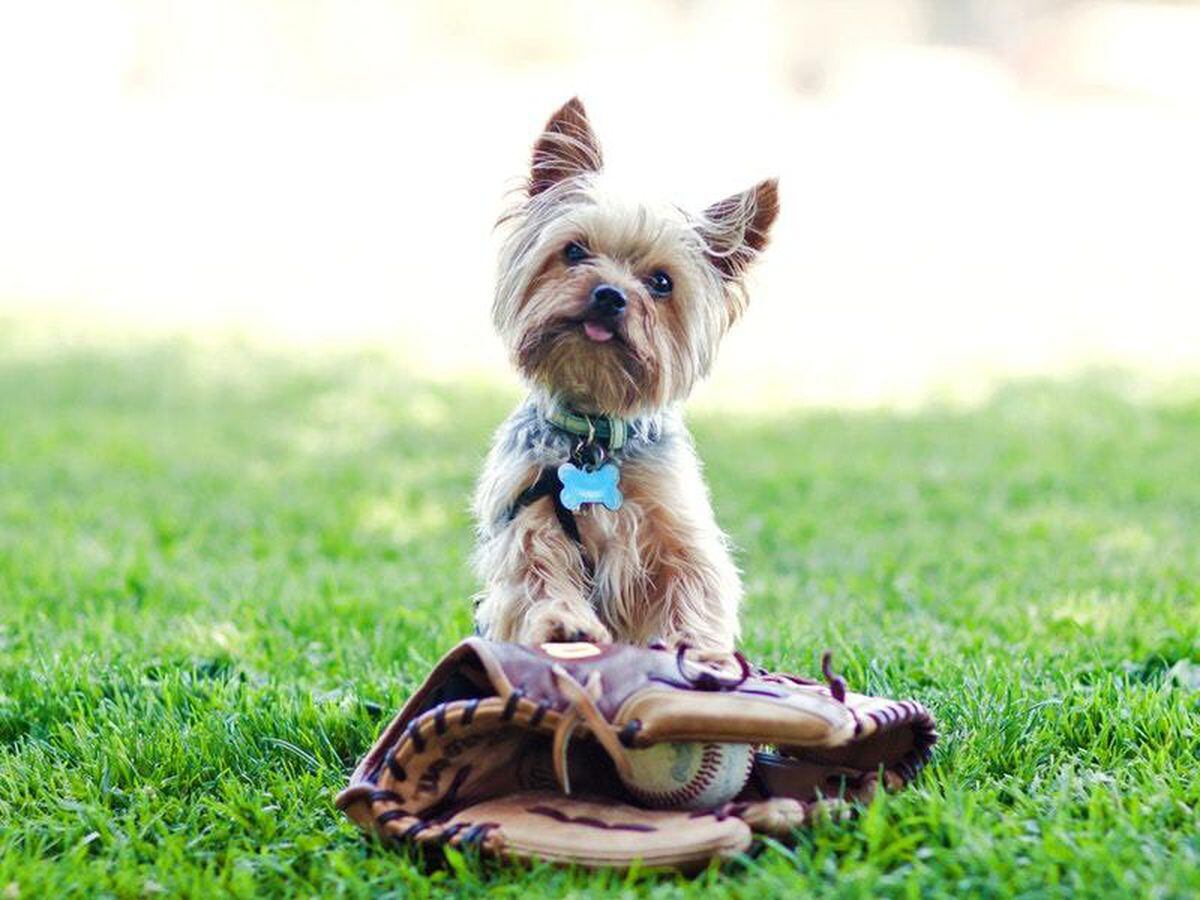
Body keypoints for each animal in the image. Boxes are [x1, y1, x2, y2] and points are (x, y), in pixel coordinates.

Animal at [468, 95, 777, 652]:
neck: (592, 433)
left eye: (661, 282)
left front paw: (696, 653)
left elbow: (692, 593)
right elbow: (537, 576)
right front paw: (563, 624)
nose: (610, 295)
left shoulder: (674, 534)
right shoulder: (526, 516)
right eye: (573, 251)